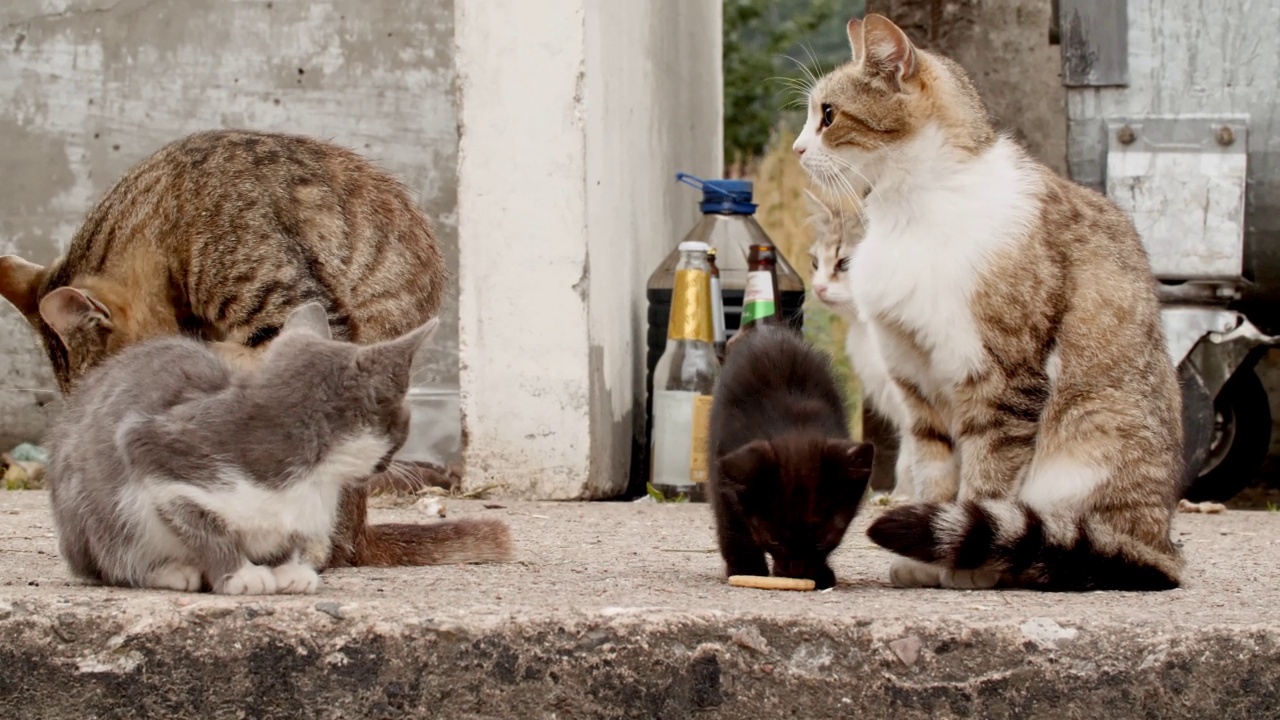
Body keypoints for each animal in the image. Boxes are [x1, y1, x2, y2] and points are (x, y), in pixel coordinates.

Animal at [46, 299, 435, 591]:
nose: (391, 462)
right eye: (405, 423)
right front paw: (241, 574)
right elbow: (201, 524)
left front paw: (287, 569)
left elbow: (286, 536)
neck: (313, 480)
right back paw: (170, 572)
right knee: (112, 558)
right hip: (91, 514)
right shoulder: (156, 449)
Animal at [706, 325, 875, 589]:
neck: (793, 424)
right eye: (773, 539)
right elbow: (732, 526)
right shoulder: (723, 475)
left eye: (822, 539)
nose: (797, 572)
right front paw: (747, 569)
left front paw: (820, 572)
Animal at [793, 14, 1182, 589]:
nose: (797, 149)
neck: (910, 208)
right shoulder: (916, 380)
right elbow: (935, 474)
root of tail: (1161, 546)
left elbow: (987, 481)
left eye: (827, 114)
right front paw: (924, 558)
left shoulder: (1002, 381)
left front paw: (966, 564)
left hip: (1091, 434)